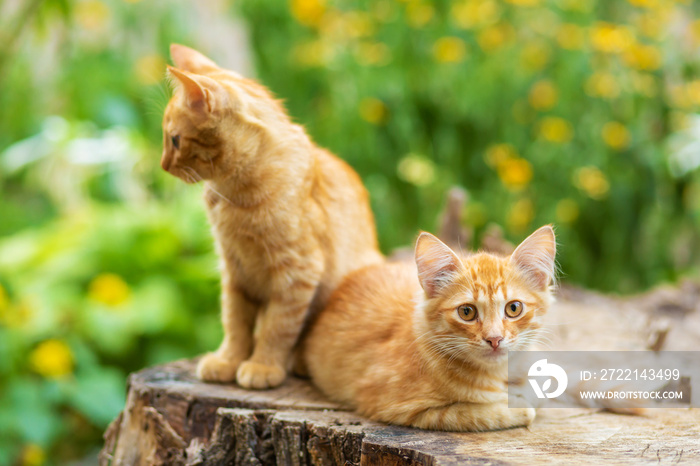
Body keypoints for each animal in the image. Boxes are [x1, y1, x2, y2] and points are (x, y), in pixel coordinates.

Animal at [162, 43, 382, 388]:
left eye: (174, 139)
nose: (162, 165)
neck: (232, 196)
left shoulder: (298, 273)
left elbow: (277, 328)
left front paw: (262, 366)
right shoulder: (234, 271)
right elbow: (235, 322)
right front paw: (228, 361)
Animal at [304, 225, 556, 430]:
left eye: (513, 308)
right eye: (467, 312)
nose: (494, 339)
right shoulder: (397, 407)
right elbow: (477, 413)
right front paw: (516, 405)